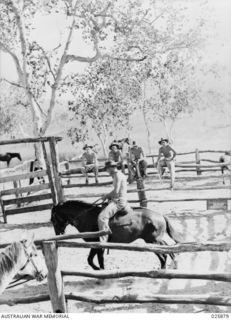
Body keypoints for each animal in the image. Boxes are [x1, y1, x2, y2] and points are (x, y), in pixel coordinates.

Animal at [51, 201, 182, 272]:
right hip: (154, 240)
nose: (58, 233)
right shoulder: (95, 245)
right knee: (166, 249)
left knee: (163, 255)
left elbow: (97, 260)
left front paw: (100, 270)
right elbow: (91, 259)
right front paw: (98, 269)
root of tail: (160, 215)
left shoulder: (97, 245)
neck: (87, 217)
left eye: (53, 219)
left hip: (152, 241)